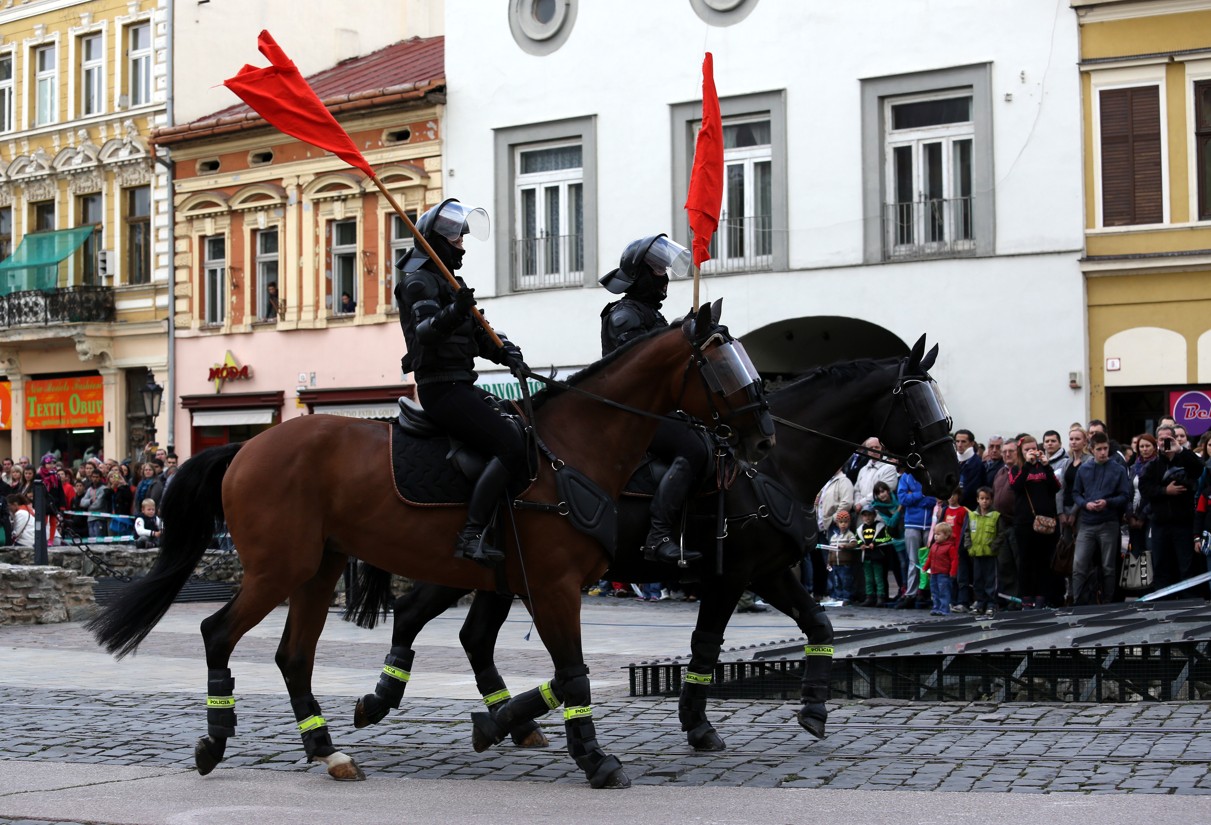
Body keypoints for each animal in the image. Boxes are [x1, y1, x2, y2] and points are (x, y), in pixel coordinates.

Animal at [92, 300, 775, 785]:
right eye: (723, 364)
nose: (763, 434)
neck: (573, 449)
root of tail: (245, 448)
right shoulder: (553, 586)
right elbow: (574, 675)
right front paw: (594, 759)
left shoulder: (536, 586)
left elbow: (561, 674)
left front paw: (501, 724)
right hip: (276, 569)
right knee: (218, 634)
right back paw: (216, 739)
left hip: (318, 568)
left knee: (294, 656)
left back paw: (328, 749)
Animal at [348, 336, 954, 751]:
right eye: (919, 403)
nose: (949, 475)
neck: (772, 465)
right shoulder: (732, 575)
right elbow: (706, 645)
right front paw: (699, 724)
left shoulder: (769, 571)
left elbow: (819, 624)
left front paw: (813, 710)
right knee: (422, 616)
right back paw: (392, 702)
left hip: (496, 577)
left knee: (458, 630)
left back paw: (495, 721)